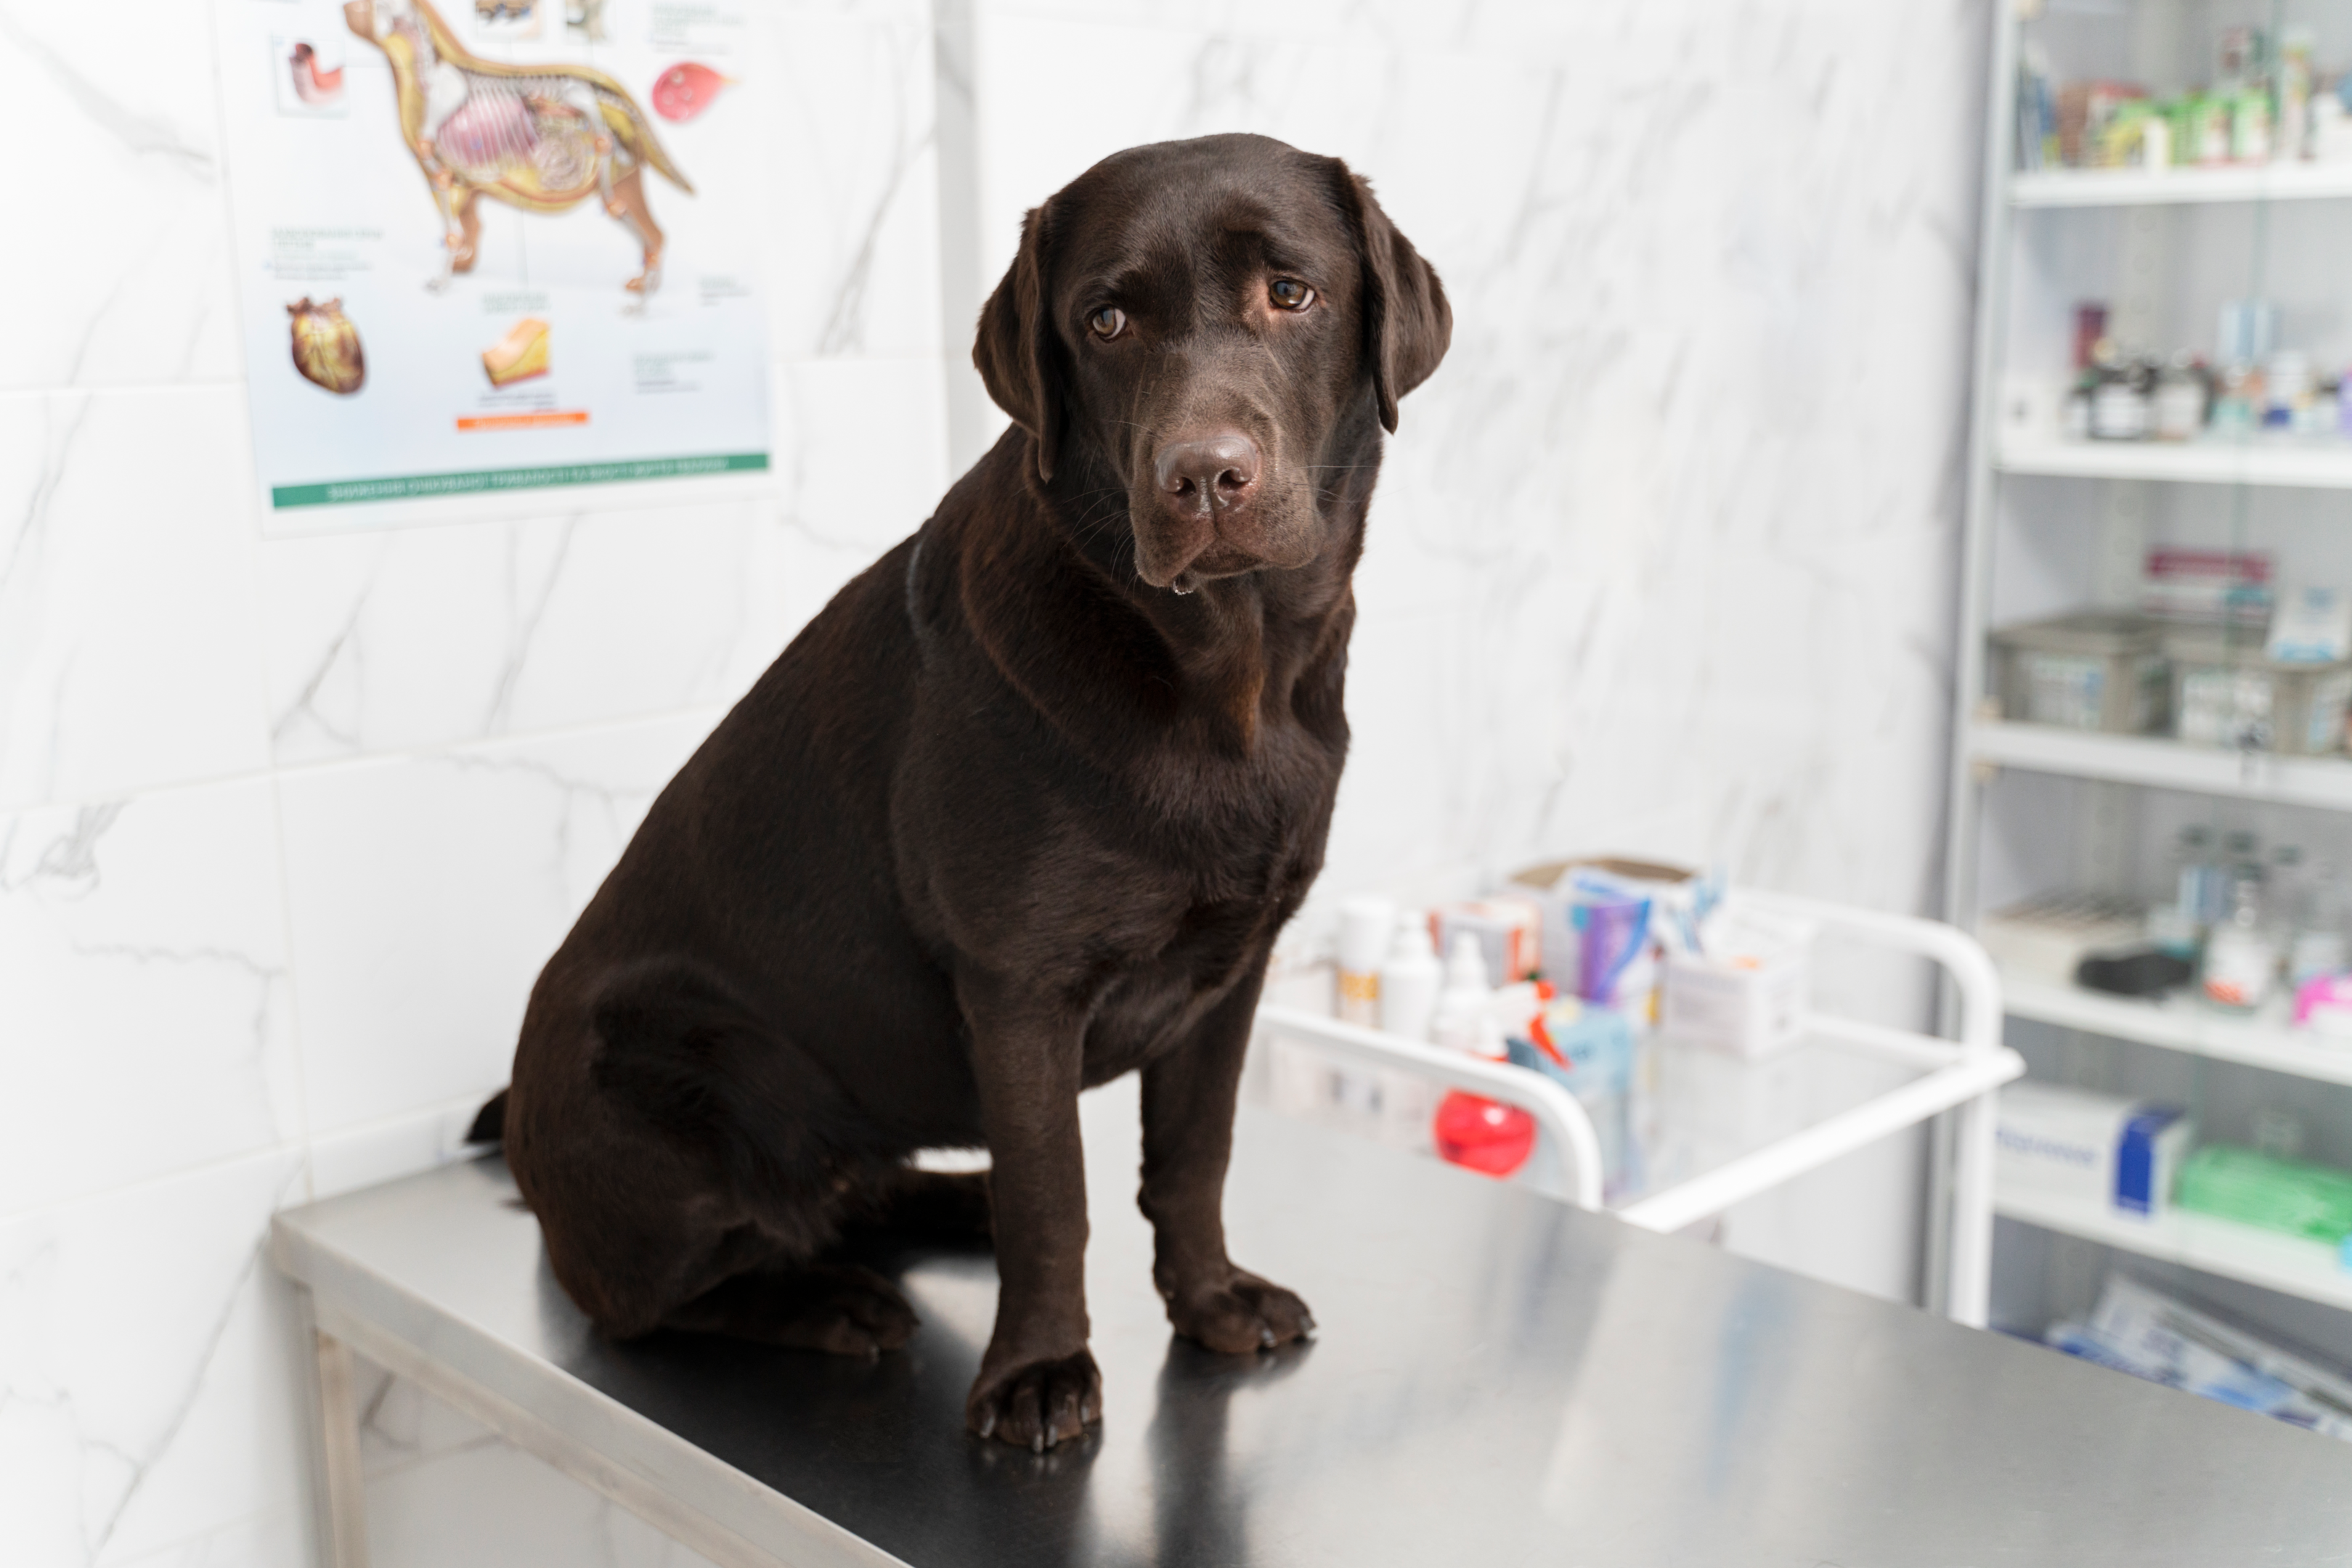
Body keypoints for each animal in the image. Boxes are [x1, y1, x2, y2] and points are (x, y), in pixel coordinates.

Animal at [494, 135, 1439, 1447]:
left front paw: (1208, 1299)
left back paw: (950, 1203)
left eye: (1288, 293)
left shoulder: (1233, 972)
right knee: (653, 1300)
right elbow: (1056, 1198)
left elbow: (1191, 1159)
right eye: (1104, 320)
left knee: (873, 1191)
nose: (1203, 478)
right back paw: (831, 1300)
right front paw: (1037, 1371)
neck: (1221, 675)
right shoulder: (1018, 991)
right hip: (681, 1088)